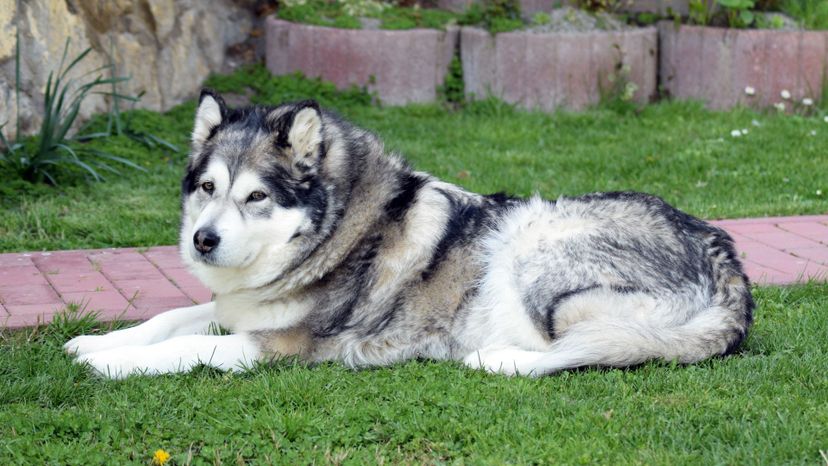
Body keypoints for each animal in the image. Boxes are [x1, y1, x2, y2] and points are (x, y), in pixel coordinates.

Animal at [63, 91, 752, 378]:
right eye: (207, 188)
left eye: (256, 196)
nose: (202, 241)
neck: (334, 235)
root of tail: (729, 265)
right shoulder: (238, 308)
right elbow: (170, 318)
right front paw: (96, 342)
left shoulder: (284, 345)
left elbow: (185, 347)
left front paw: (113, 364)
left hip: (534, 248)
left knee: (588, 350)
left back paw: (496, 359)